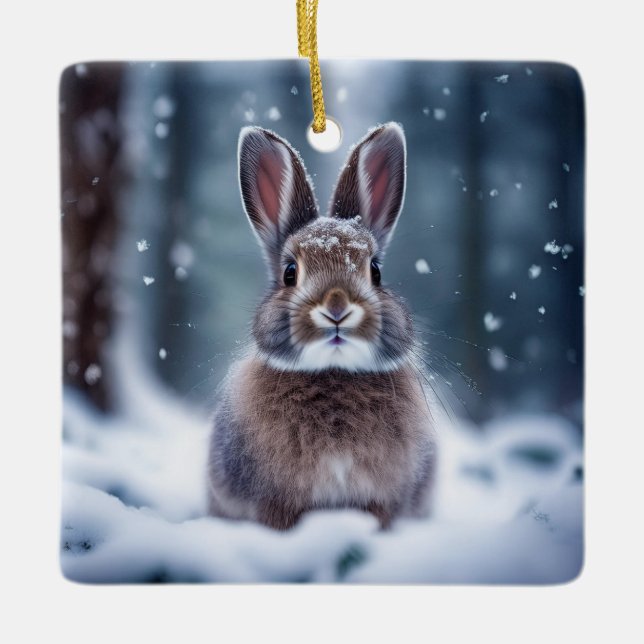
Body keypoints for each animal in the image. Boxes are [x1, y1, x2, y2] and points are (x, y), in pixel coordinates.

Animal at [207, 122, 436, 530]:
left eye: (376, 271)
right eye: (290, 272)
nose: (337, 307)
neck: (334, 372)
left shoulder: (380, 500)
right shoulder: (275, 502)